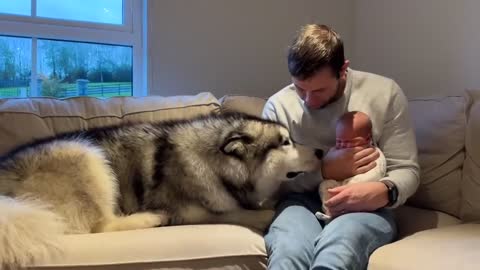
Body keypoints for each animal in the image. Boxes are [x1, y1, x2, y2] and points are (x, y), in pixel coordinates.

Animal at [1, 112, 322, 268]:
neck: (217, 164)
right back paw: (150, 218)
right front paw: (268, 210)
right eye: (285, 143)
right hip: (85, 154)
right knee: (100, 226)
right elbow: (240, 213)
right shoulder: (193, 213)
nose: (320, 151)